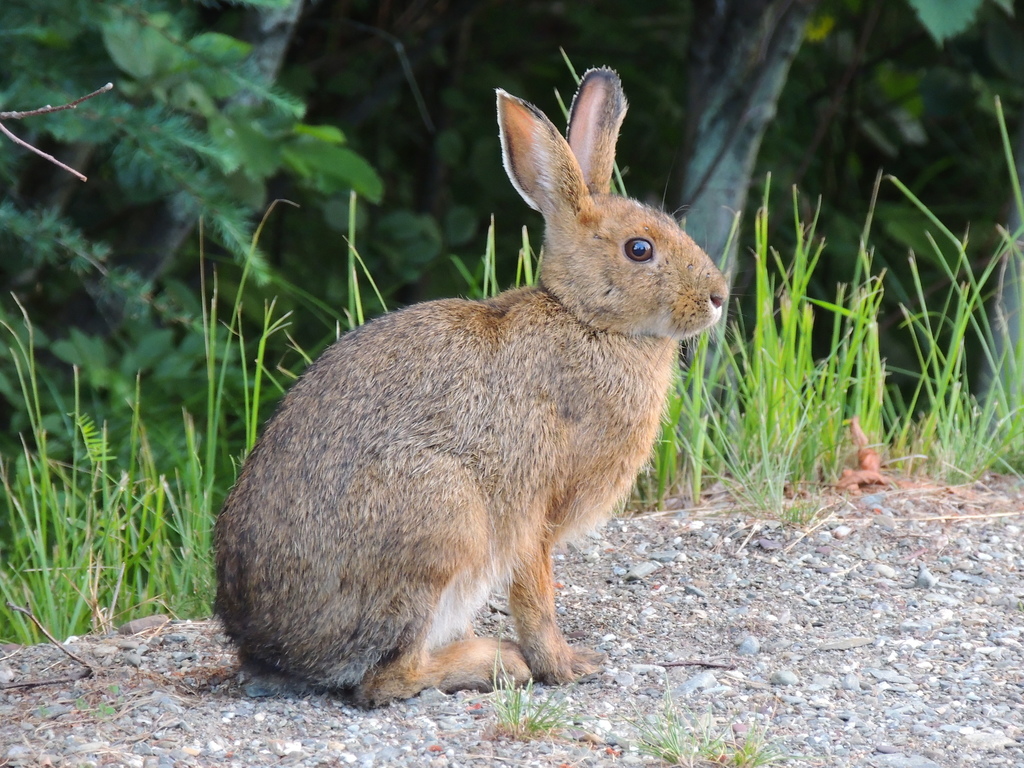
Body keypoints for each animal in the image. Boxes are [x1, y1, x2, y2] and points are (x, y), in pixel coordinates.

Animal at [214, 67, 728, 708]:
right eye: (640, 249)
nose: (718, 297)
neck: (586, 319)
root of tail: (270, 649)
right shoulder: (533, 512)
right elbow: (536, 597)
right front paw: (567, 666)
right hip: (444, 521)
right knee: (385, 679)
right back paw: (495, 663)